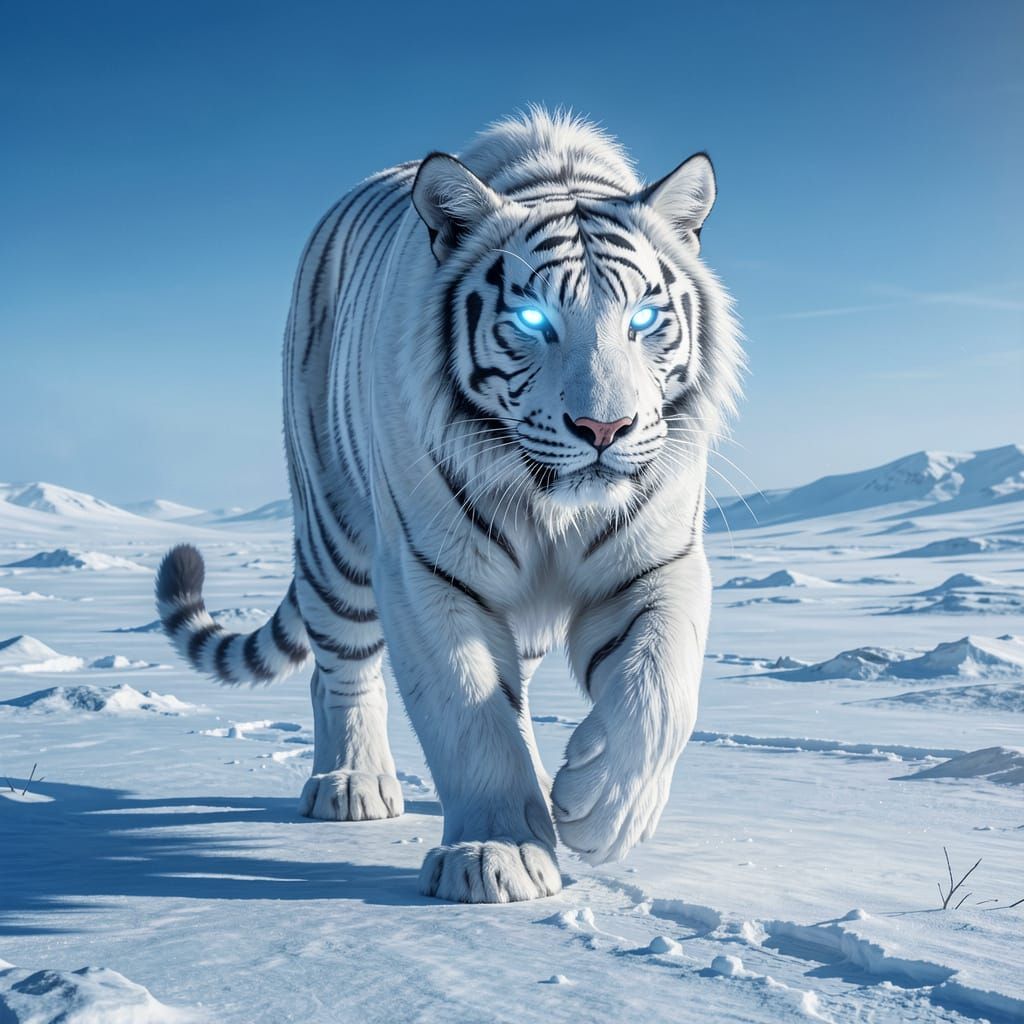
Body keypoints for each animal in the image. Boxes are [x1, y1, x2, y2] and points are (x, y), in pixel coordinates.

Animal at [156, 107, 742, 904]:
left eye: (645, 318)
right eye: (533, 321)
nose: (604, 429)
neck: (551, 504)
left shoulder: (659, 560)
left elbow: (658, 686)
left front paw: (601, 810)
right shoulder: (427, 572)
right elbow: (470, 712)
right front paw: (498, 853)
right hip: (338, 541)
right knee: (340, 668)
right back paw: (350, 784)